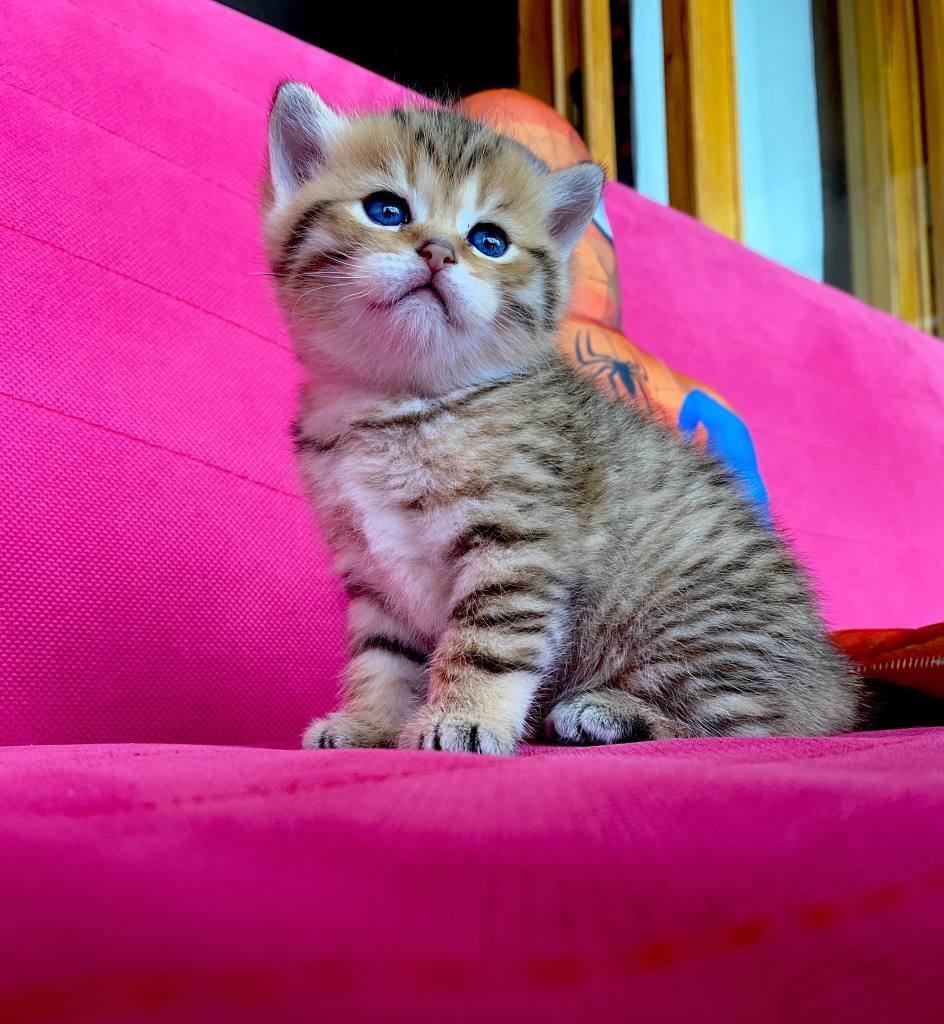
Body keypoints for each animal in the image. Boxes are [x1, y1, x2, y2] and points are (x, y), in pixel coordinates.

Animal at [262, 82, 861, 755]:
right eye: (385, 210)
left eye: (489, 241)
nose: (438, 252)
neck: (402, 400)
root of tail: (829, 681)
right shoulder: (372, 569)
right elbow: (383, 654)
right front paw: (372, 722)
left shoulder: (519, 541)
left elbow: (487, 641)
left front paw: (463, 717)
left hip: (695, 627)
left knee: (743, 726)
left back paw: (608, 710)